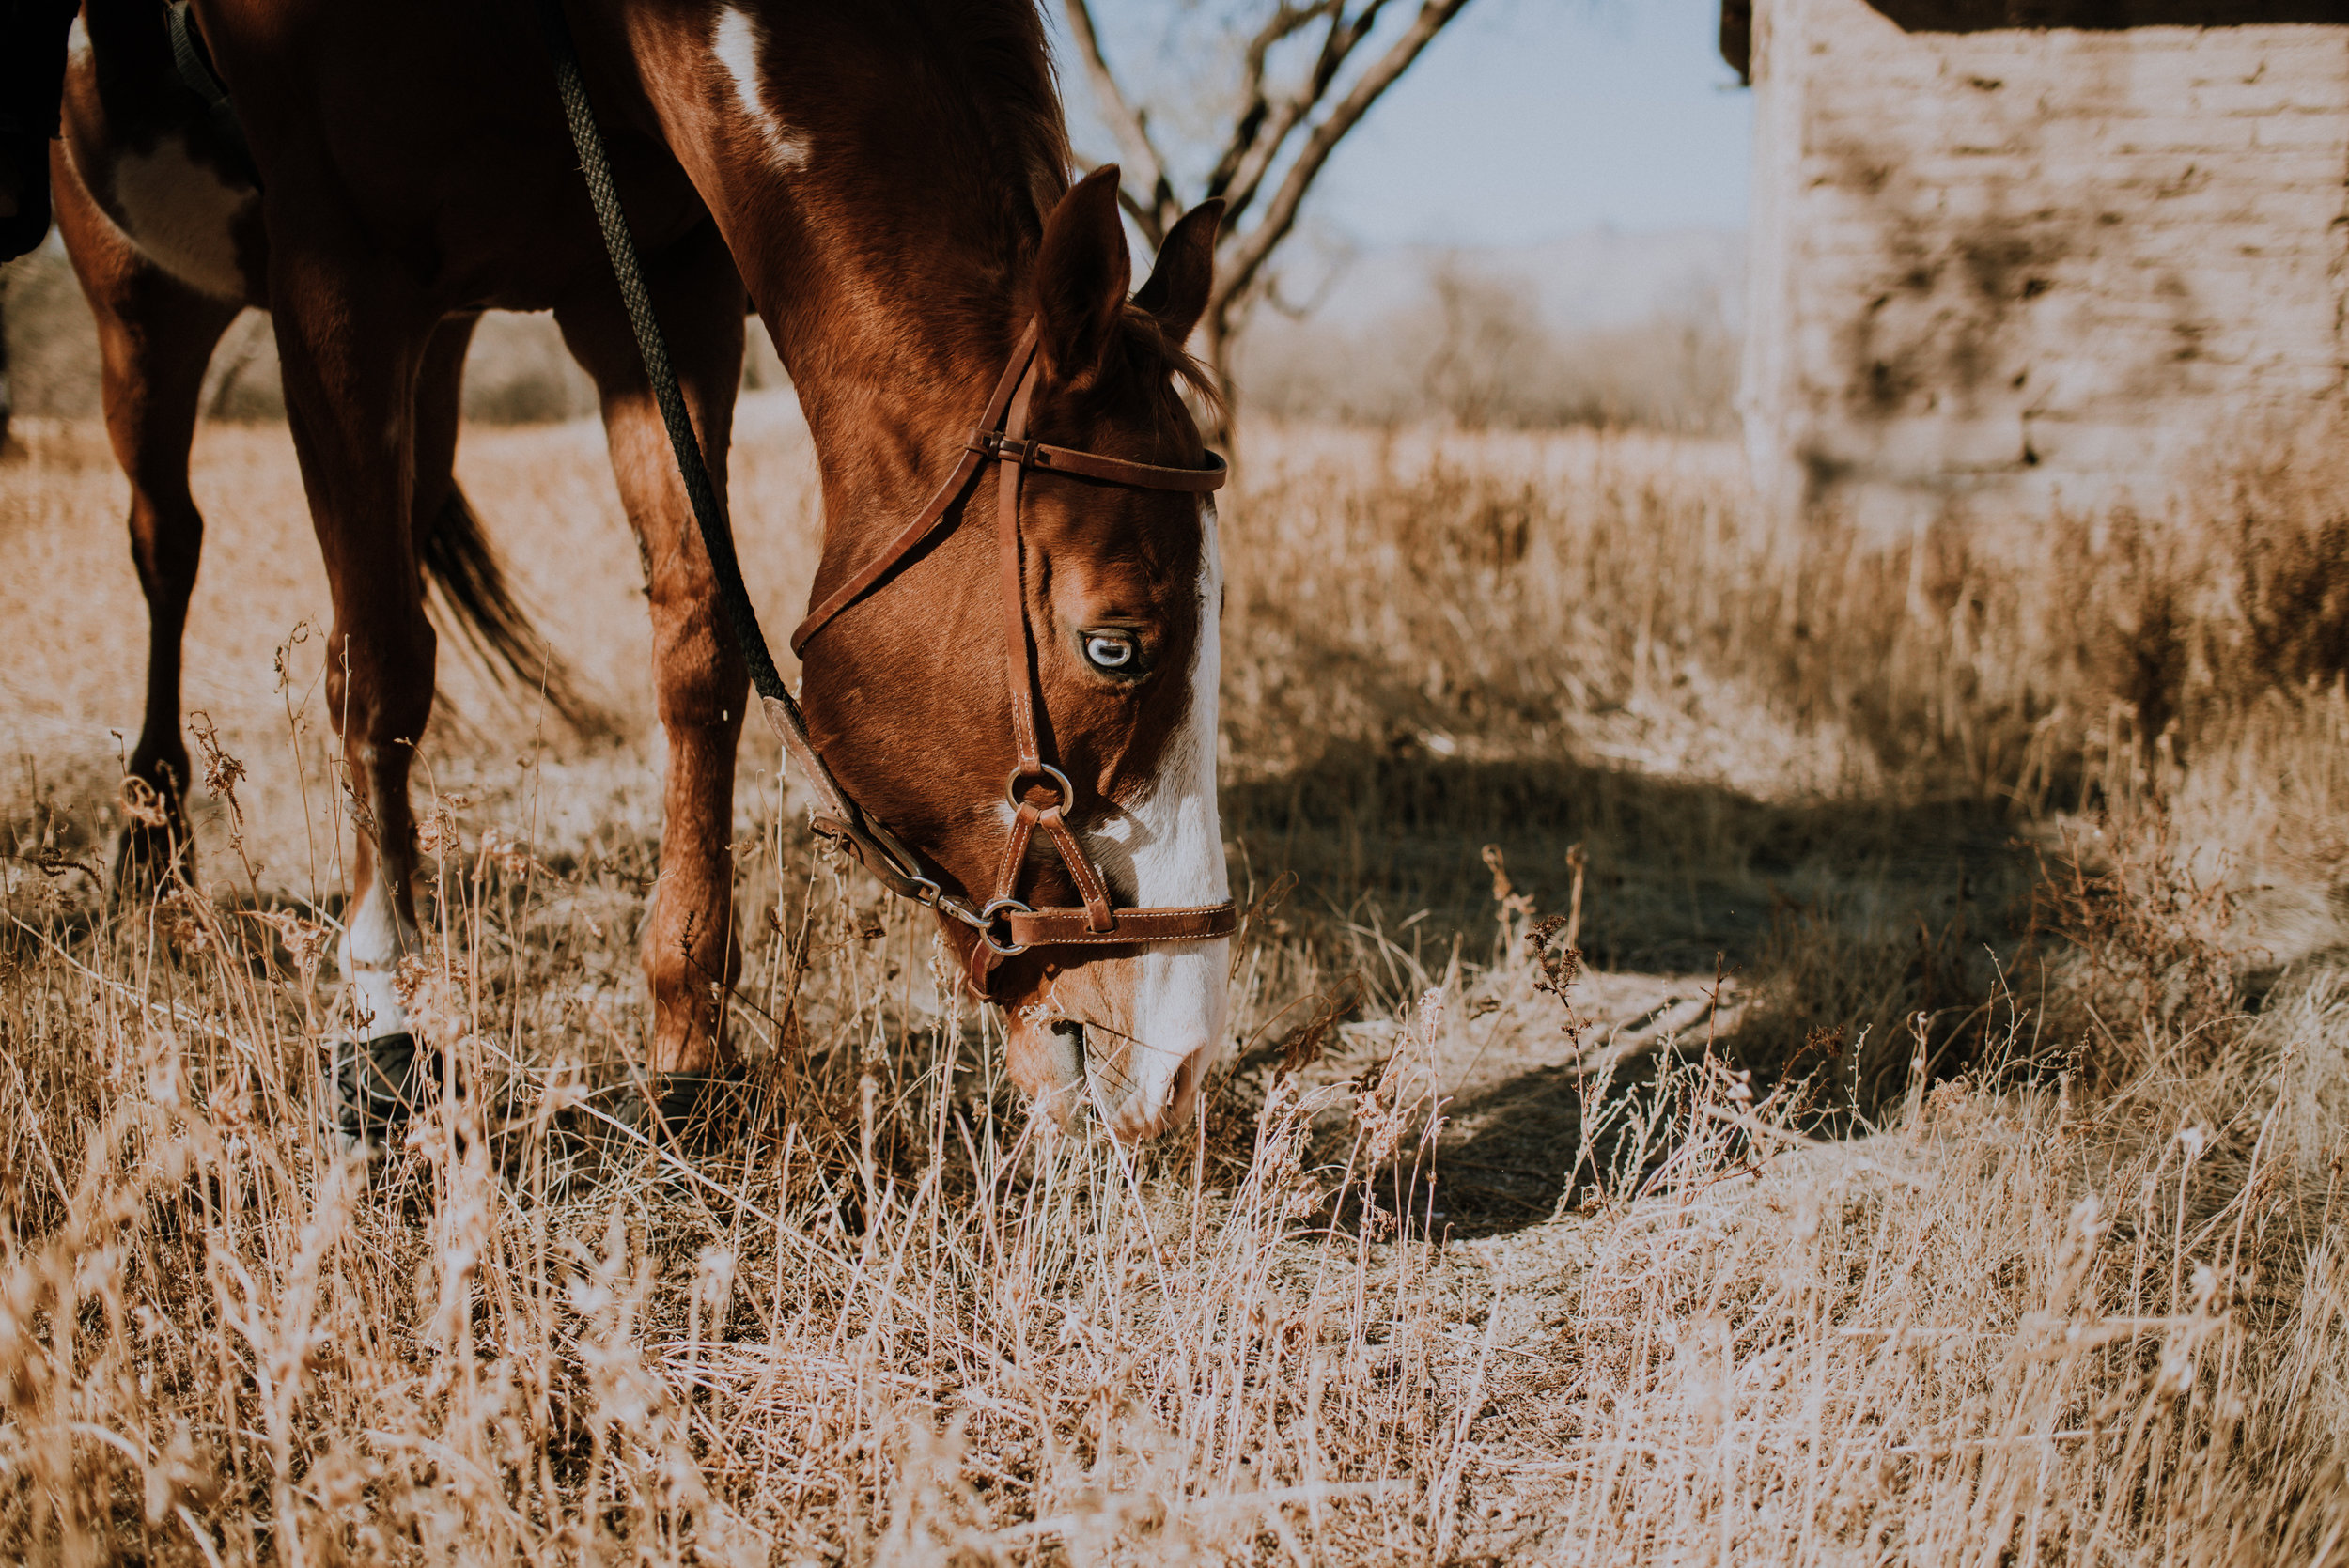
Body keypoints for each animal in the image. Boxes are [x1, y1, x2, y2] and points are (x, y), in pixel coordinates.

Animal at [54, 0, 1231, 1141]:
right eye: (1113, 646)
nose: (1180, 1063)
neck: (557, 31)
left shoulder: (662, 289)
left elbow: (697, 647)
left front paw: (687, 1037)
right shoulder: (335, 273)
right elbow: (378, 665)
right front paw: (386, 1020)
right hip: (139, 304)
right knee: (173, 544)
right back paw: (155, 840)